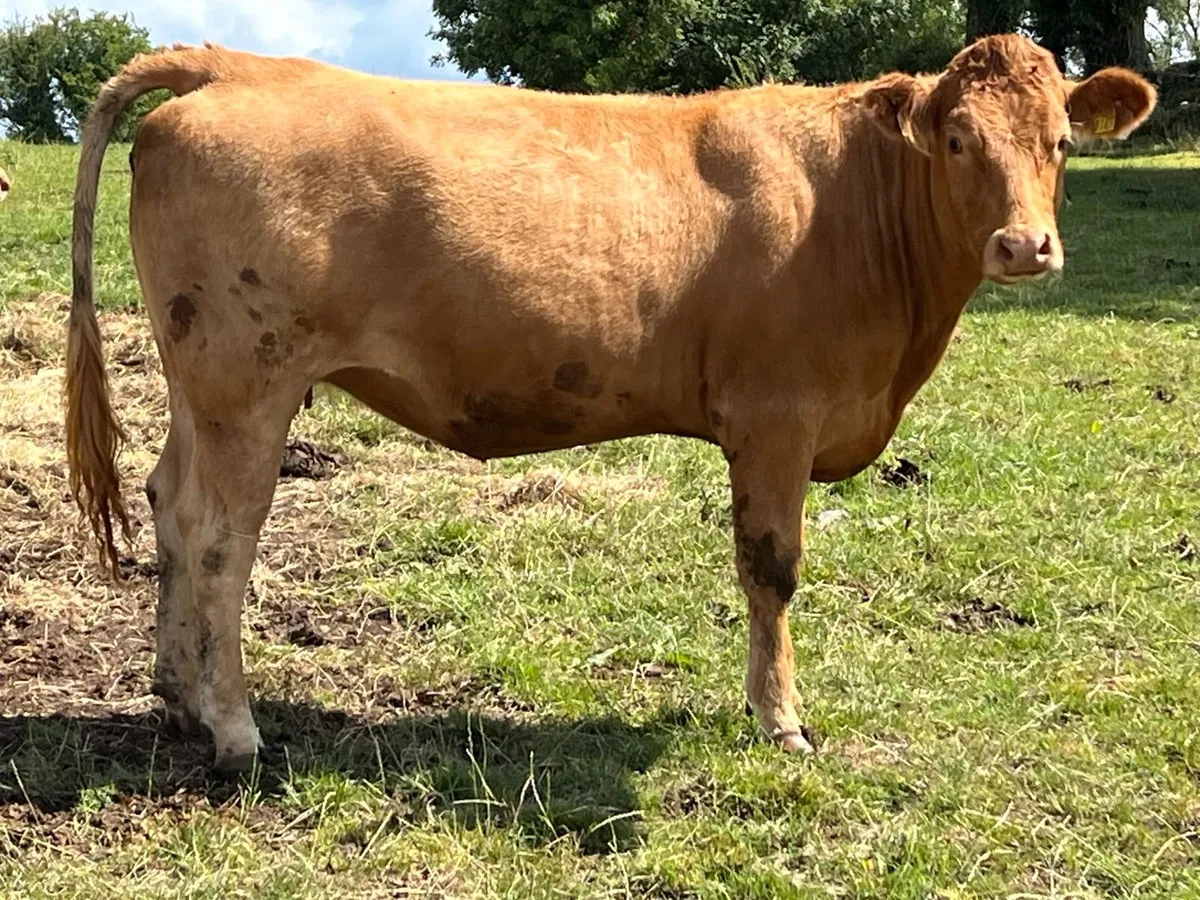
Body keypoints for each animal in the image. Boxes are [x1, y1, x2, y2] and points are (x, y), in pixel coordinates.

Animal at [65, 34, 1155, 774]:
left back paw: (176, 698)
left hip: (198, 381)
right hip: (248, 380)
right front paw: (780, 720)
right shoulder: (776, 416)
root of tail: (232, 66)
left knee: (170, 502)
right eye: (959, 140)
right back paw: (235, 732)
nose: (1025, 246)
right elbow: (772, 572)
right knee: (221, 536)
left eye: (1062, 140)